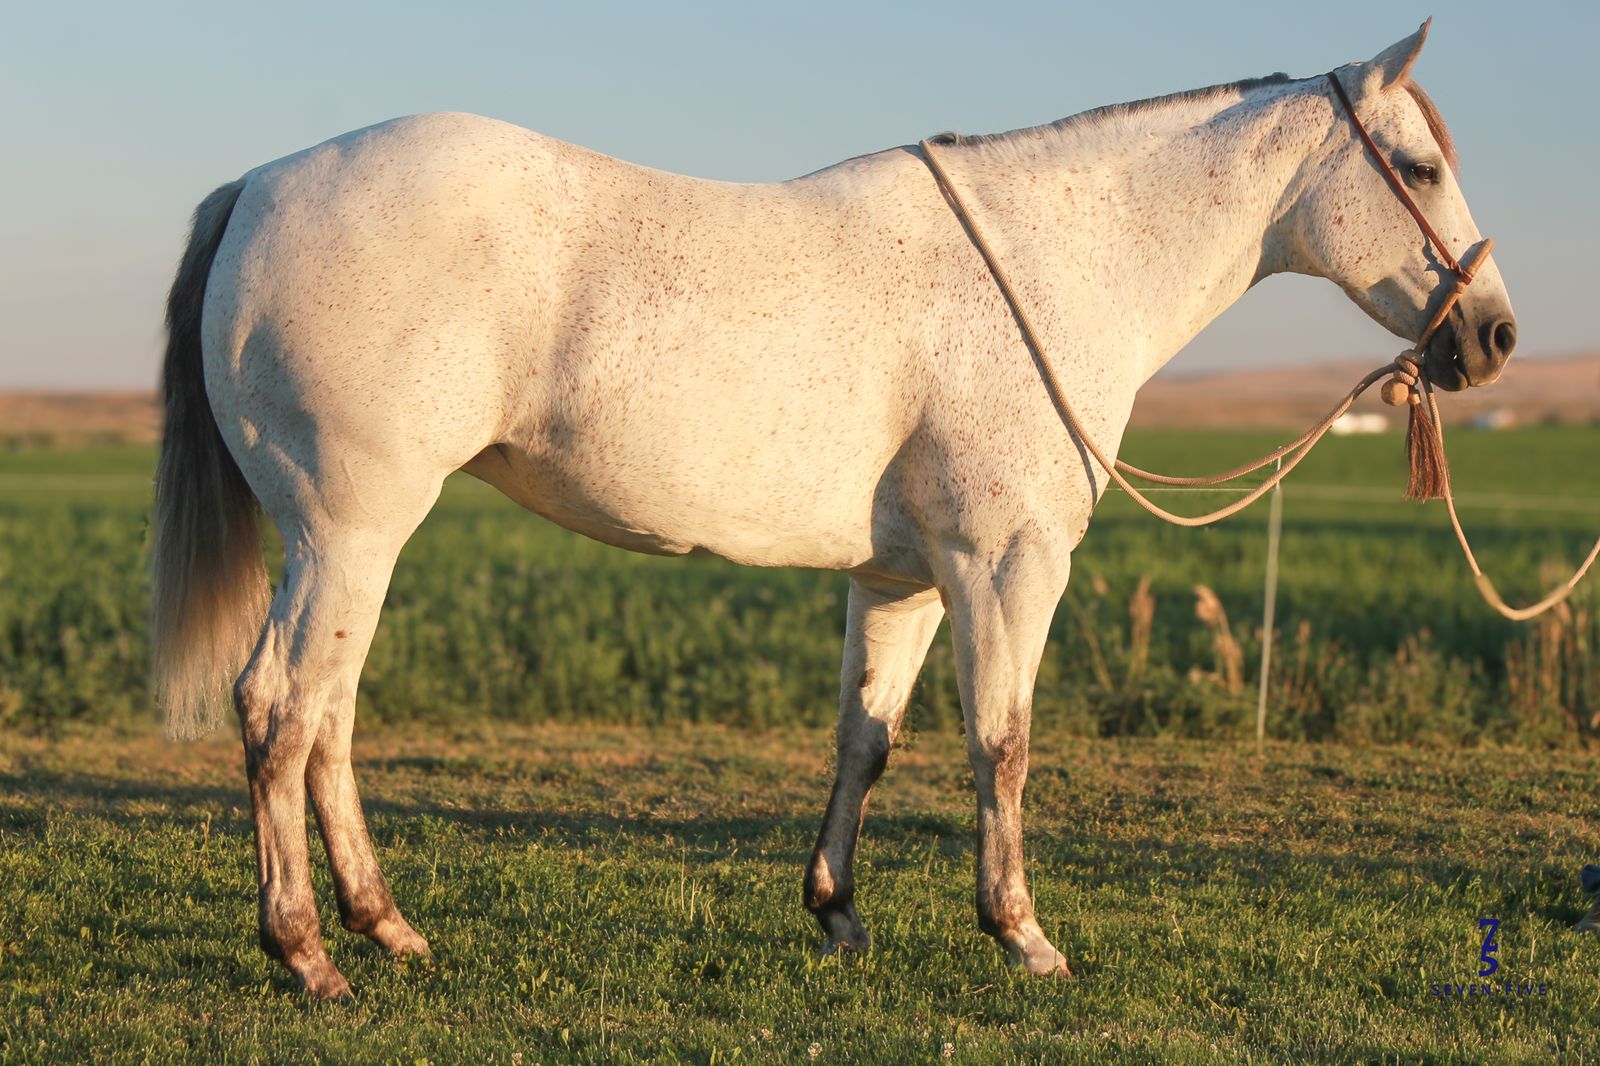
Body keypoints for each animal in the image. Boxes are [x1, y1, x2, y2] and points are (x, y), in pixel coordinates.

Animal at [151, 21, 1515, 998]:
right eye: (1417, 165)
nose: (1494, 338)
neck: (1050, 264)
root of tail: (260, 185)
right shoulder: (1004, 566)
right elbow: (1001, 743)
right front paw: (1021, 935)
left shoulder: (903, 578)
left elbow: (867, 739)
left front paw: (837, 914)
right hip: (349, 534)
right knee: (280, 709)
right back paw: (304, 952)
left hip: (352, 547)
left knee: (326, 720)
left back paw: (385, 929)